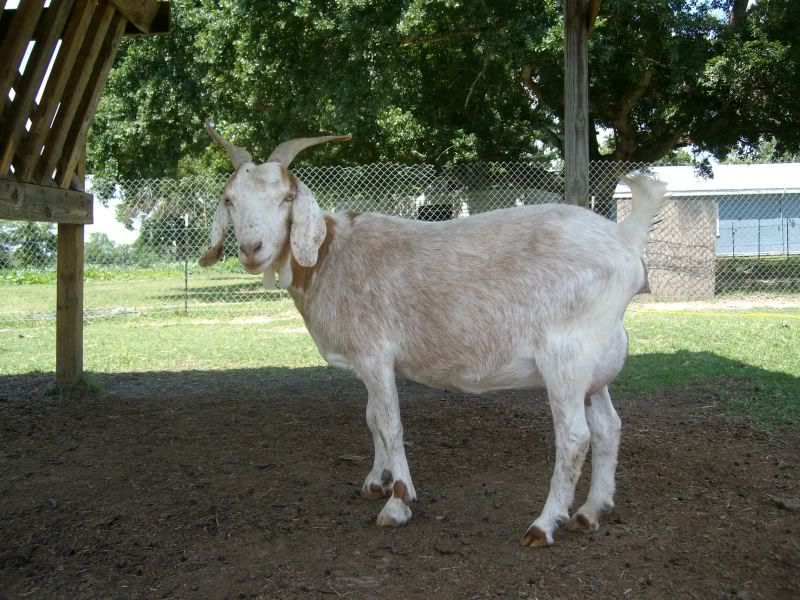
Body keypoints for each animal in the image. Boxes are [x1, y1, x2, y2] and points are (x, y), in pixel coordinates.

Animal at [199, 124, 666, 547]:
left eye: (286, 199)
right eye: (230, 200)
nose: (251, 249)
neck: (330, 256)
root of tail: (624, 237)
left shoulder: (375, 354)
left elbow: (390, 423)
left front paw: (398, 502)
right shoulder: (368, 364)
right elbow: (371, 418)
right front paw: (377, 481)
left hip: (566, 358)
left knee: (574, 437)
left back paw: (544, 524)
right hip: (596, 366)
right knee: (608, 427)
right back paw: (591, 512)